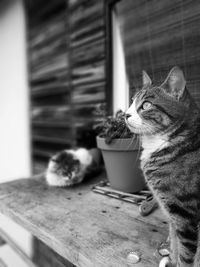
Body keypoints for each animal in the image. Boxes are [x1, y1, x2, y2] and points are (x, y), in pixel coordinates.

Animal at [126, 66, 200, 266]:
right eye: (132, 102)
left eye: (146, 105)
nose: (125, 114)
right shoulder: (173, 214)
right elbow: (175, 242)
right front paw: (172, 259)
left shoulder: (186, 215)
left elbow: (186, 253)